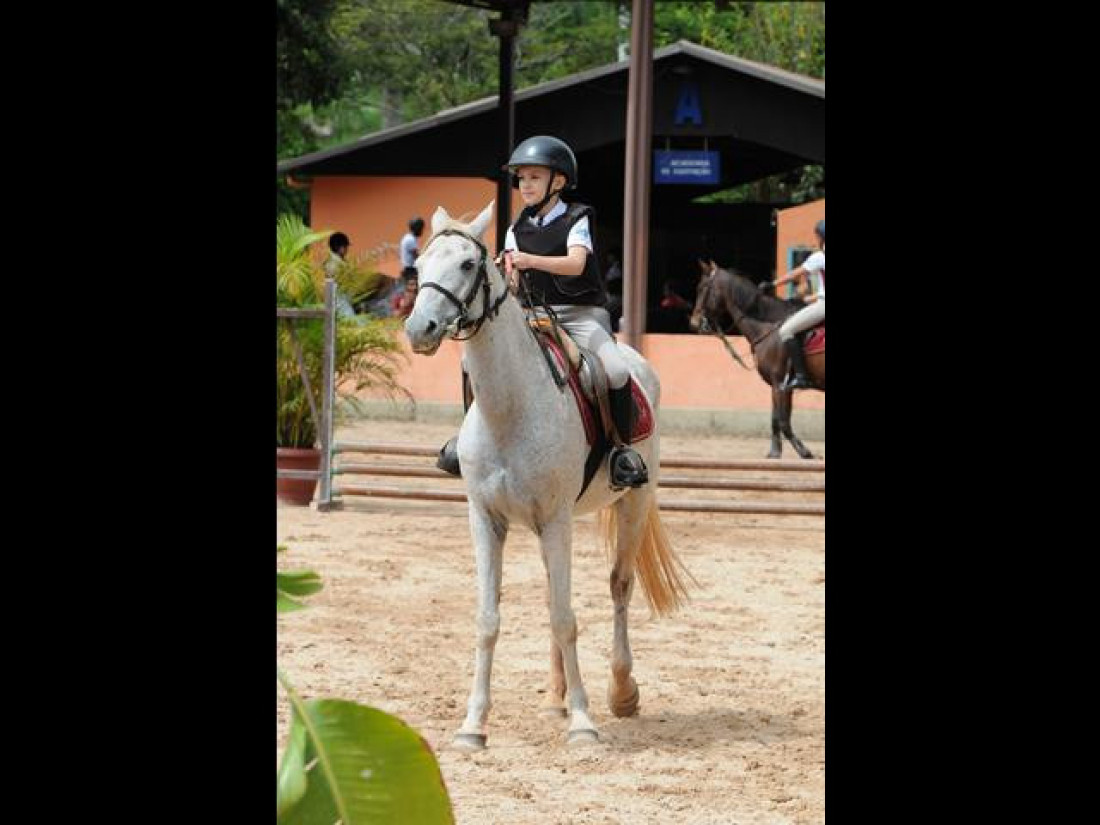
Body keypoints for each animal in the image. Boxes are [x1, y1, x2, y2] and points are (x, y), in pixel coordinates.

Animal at [404, 201, 693, 749]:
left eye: (468, 265)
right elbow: (489, 618)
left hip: (632, 503)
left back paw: (621, 691)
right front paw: (473, 726)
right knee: (552, 591)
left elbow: (565, 617)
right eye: (421, 265)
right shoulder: (486, 519)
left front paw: (583, 722)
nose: (419, 329)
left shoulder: (557, 519)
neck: (510, 409)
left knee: (619, 585)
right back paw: (556, 696)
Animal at [689, 260, 825, 459]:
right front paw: (774, 453)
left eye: (702, 288)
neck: (768, 328)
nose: (694, 322)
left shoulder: (780, 385)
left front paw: (804, 452)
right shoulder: (779, 386)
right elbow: (776, 420)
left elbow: (783, 422)